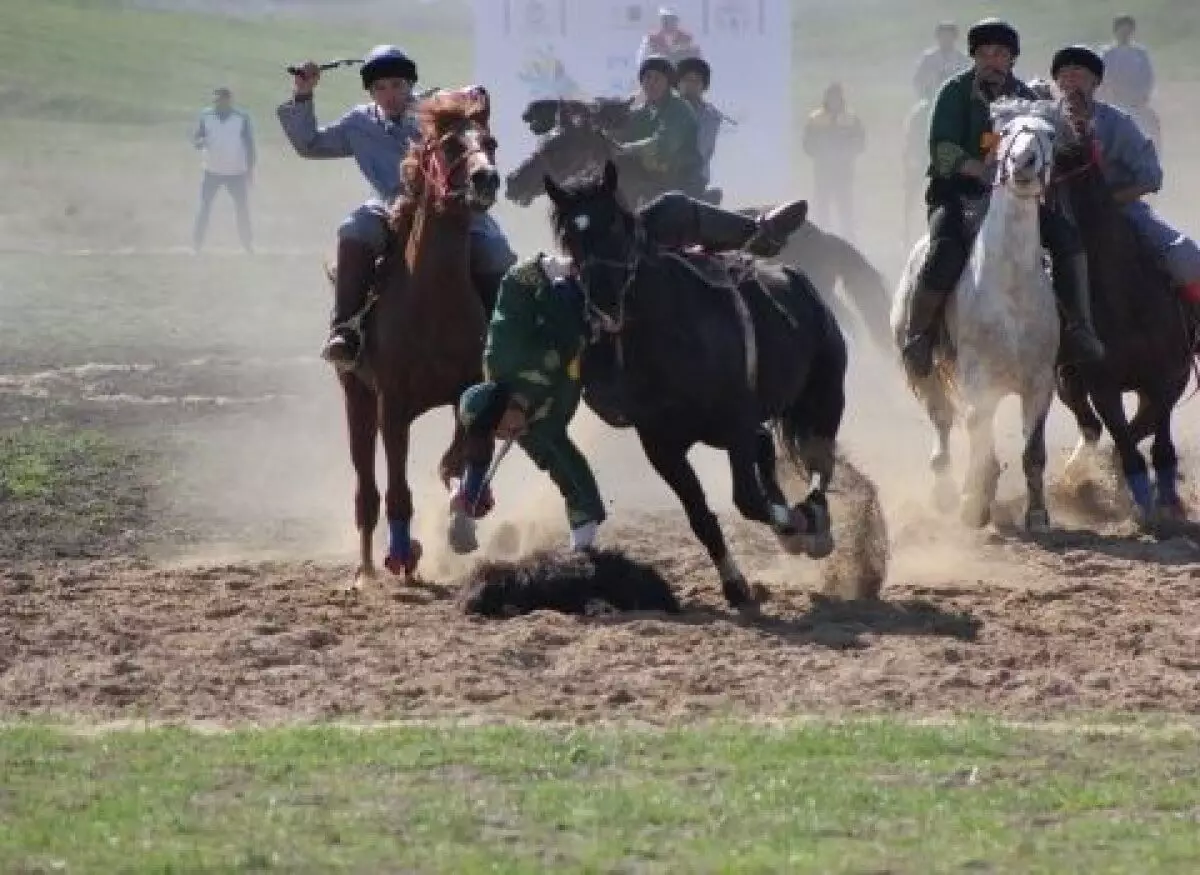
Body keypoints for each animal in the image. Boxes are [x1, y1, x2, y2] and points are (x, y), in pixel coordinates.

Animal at [343, 88, 496, 588]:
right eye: (448, 145)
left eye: (490, 141)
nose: (486, 178)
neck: (433, 301)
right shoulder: (391, 407)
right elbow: (397, 488)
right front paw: (402, 553)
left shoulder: (471, 389)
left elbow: (464, 455)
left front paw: (464, 517)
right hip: (357, 399)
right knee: (368, 491)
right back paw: (370, 568)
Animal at [549, 160, 849, 607]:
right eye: (570, 235)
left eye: (615, 226)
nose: (602, 299)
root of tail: (800, 282)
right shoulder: (661, 445)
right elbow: (701, 516)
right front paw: (735, 584)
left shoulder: (735, 423)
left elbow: (748, 500)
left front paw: (796, 525)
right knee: (771, 452)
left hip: (825, 398)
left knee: (819, 466)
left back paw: (814, 524)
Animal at [1060, 141, 1190, 523]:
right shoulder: (1102, 385)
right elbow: (1123, 436)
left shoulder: (1167, 377)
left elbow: (1155, 436)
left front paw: (1166, 499)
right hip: (1067, 377)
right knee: (1089, 422)